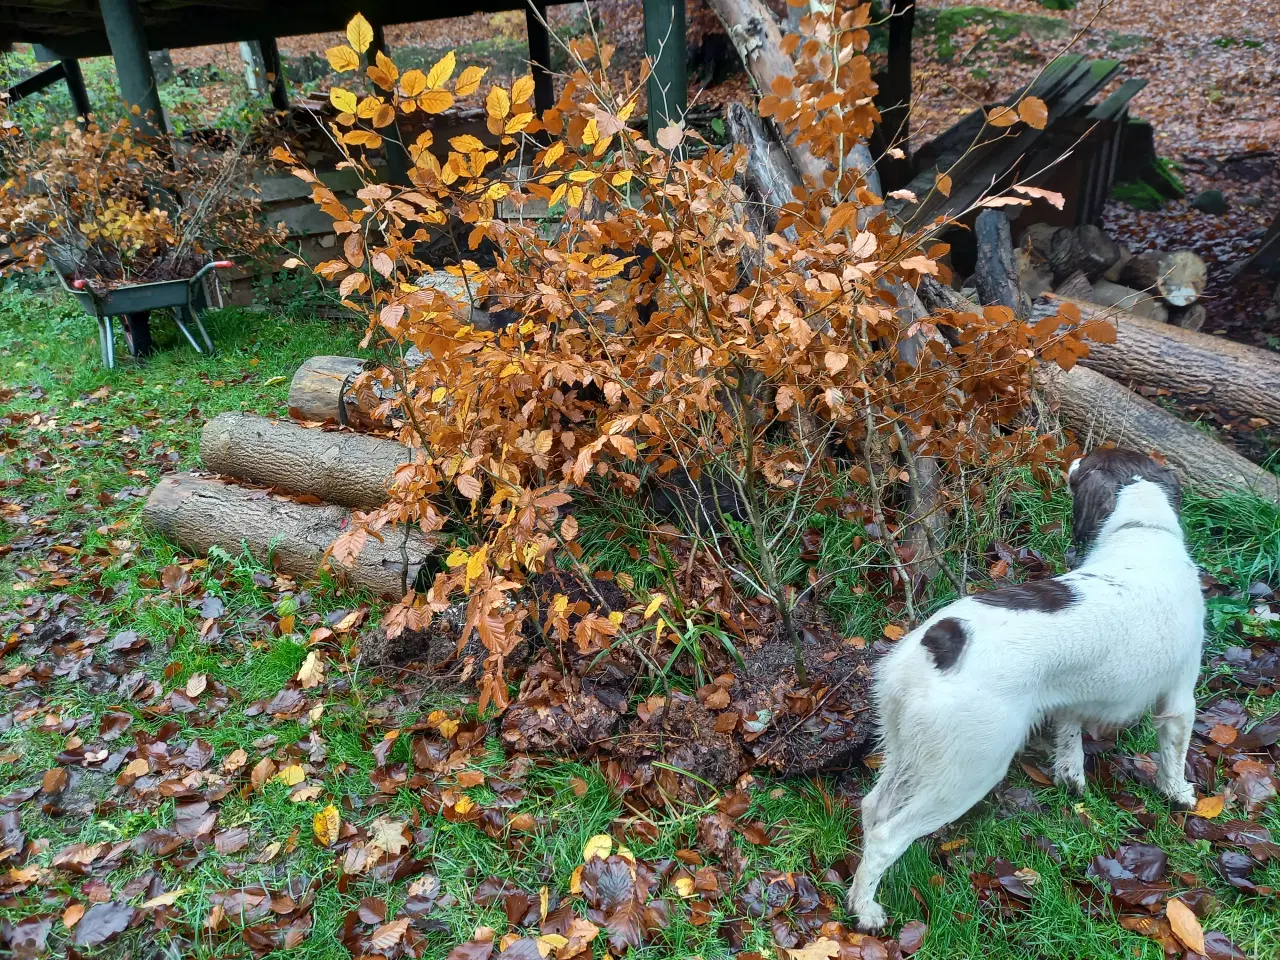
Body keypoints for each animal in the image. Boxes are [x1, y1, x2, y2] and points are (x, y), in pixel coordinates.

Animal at [849, 450, 1198, 931]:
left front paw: (1072, 781)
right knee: (886, 836)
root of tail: (935, 644)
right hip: (967, 772)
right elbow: (1173, 757)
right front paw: (1179, 794)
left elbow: (1069, 743)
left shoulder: (1070, 699)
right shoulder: (1181, 696)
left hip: (908, 749)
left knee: (872, 809)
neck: (1142, 531)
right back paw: (866, 912)